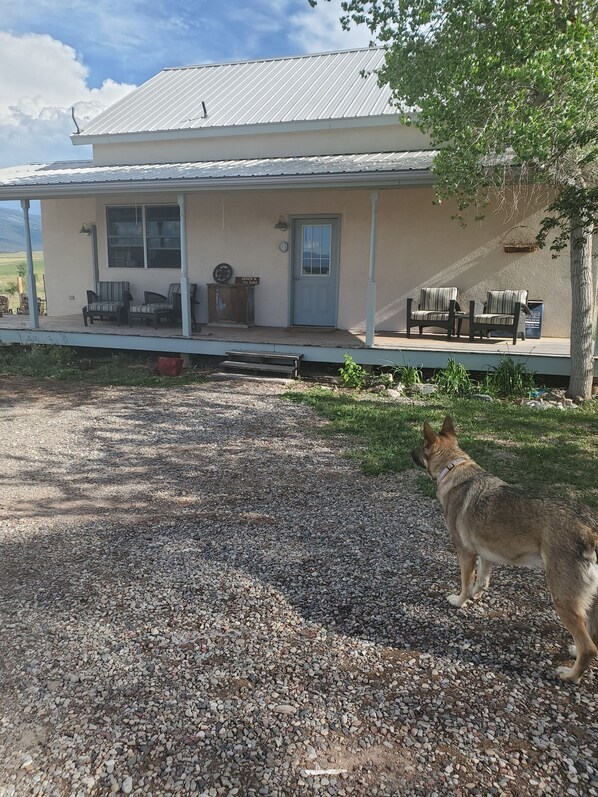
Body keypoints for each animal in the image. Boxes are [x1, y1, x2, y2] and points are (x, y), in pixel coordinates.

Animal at [412, 416, 598, 684]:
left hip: (563, 600)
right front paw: (475, 596)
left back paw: (570, 675)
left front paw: (460, 601)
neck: (454, 467)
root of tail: (591, 528)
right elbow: (482, 581)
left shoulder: (465, 553)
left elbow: (465, 583)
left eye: (420, 445)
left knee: (589, 647)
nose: (408, 452)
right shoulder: (486, 554)